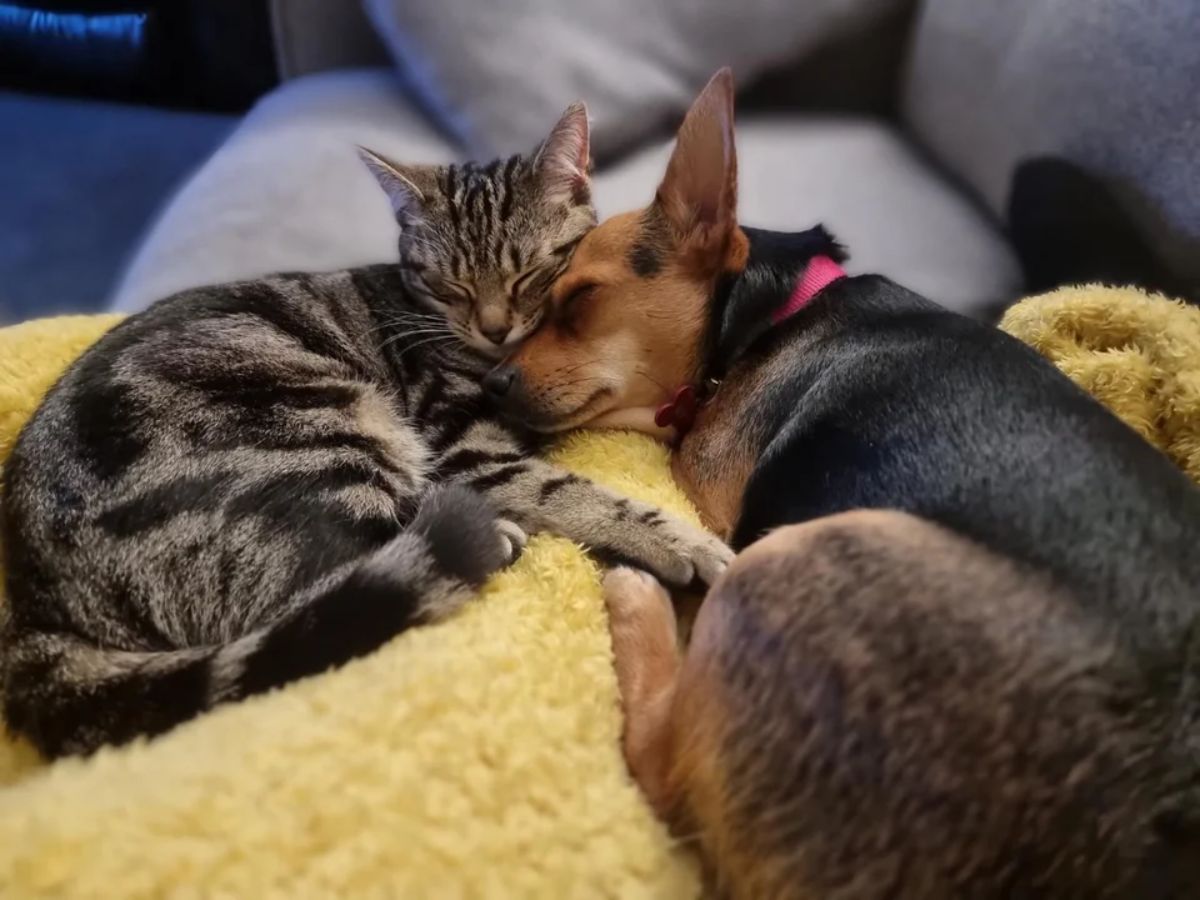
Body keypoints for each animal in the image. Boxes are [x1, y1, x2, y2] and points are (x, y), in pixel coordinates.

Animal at [2, 105, 729, 763]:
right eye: (449, 285)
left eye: (531, 273)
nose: (495, 329)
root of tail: (32, 613)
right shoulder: (470, 450)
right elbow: (574, 492)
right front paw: (687, 543)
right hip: (313, 433)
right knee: (333, 584)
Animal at [482, 72, 1200, 900]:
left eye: (577, 301)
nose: (489, 383)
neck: (768, 316)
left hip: (794, 562)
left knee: (661, 768)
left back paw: (638, 595)